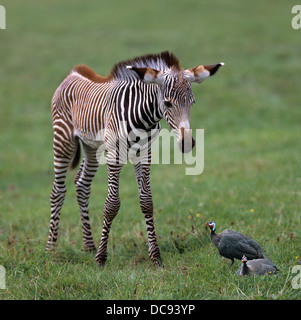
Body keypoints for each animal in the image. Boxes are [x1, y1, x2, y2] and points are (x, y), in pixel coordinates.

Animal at [45, 51, 221, 266]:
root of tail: (73, 73)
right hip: (63, 139)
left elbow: (146, 201)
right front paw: (101, 258)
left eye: (192, 102)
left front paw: (155, 255)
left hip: (91, 146)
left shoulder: (145, 153)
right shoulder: (115, 153)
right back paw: (51, 249)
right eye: (168, 103)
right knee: (57, 190)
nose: (188, 144)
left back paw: (88, 245)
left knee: (82, 184)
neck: (143, 118)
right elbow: (111, 205)